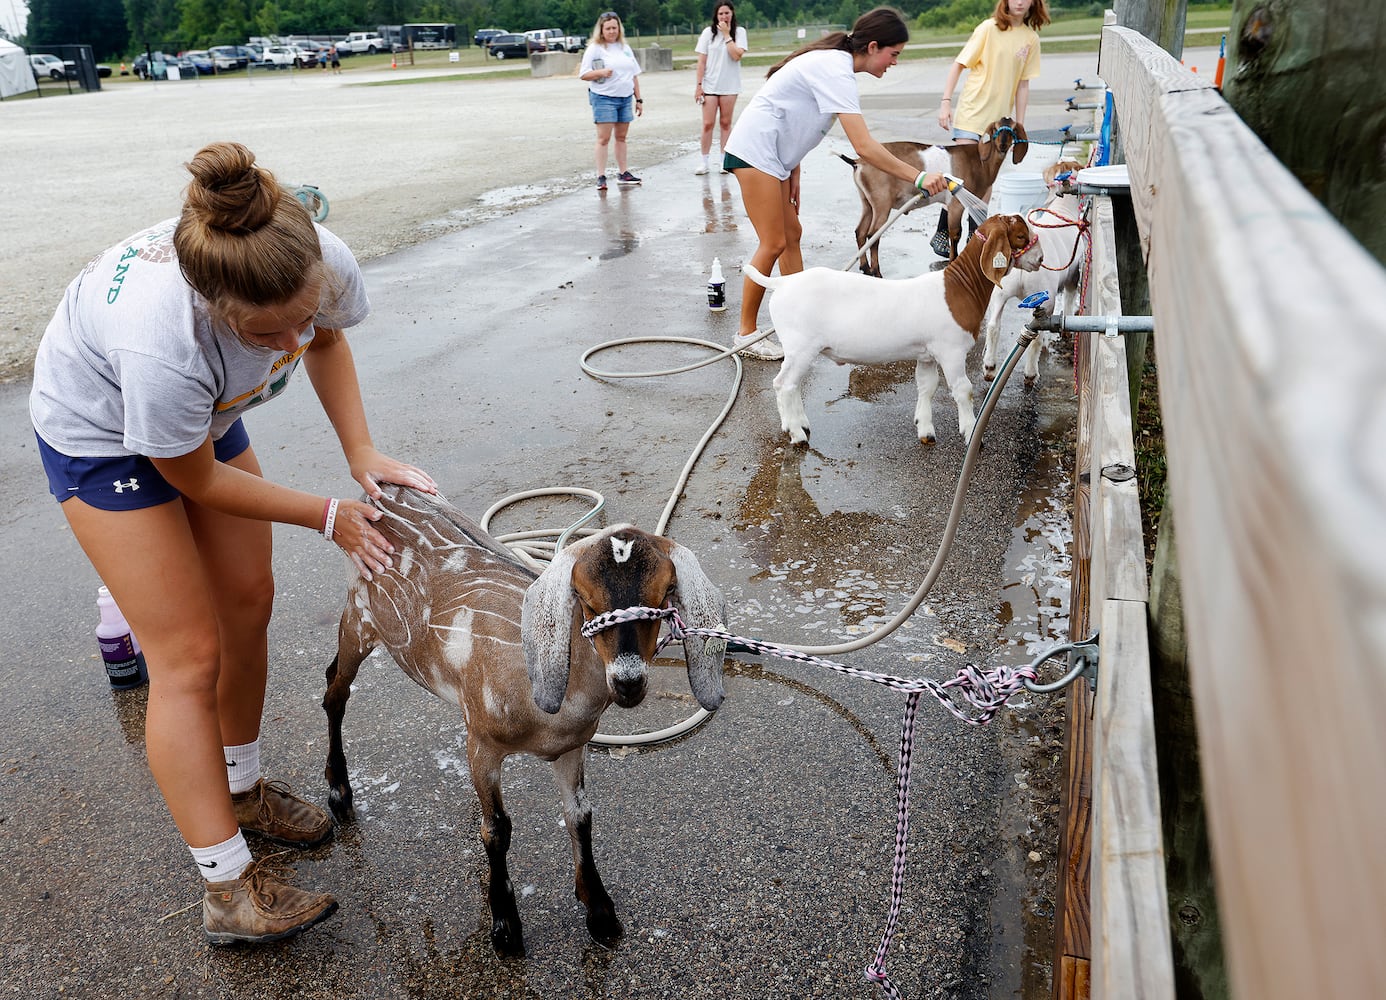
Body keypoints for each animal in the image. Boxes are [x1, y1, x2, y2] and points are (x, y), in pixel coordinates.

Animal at [320, 487, 731, 952]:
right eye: (585, 599)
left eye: (663, 597)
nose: (628, 682)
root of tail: (381, 492)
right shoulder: (484, 745)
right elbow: (498, 829)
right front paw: (505, 928)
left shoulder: (572, 748)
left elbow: (580, 816)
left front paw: (601, 914)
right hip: (359, 616)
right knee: (335, 689)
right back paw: (339, 794)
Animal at [742, 214, 1042, 443]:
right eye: (1020, 236)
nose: (1040, 259)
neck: (959, 285)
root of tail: (783, 283)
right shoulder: (952, 351)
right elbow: (963, 389)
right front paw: (971, 433)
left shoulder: (927, 354)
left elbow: (927, 386)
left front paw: (925, 430)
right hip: (800, 347)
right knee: (784, 384)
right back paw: (796, 434)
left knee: (791, 386)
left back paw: (798, 424)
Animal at [831, 120, 1031, 277]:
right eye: (996, 128)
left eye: (1012, 128)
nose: (1003, 144)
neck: (978, 160)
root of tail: (858, 163)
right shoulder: (955, 203)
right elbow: (955, 233)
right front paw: (952, 261)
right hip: (882, 203)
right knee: (873, 234)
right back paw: (876, 272)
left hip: (867, 202)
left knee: (860, 231)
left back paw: (865, 267)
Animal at [975, 159, 1092, 382]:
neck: (1063, 210)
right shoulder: (1073, 275)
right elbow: (1069, 300)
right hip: (1044, 296)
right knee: (1035, 335)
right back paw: (1030, 373)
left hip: (1001, 293)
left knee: (994, 326)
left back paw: (990, 367)